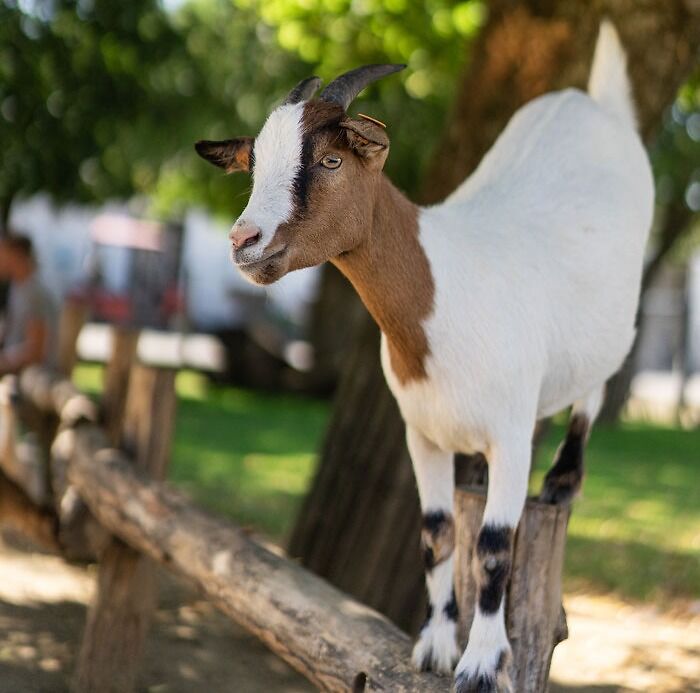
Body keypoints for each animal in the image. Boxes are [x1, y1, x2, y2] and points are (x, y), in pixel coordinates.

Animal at [196, 21, 653, 692]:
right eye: (252, 166)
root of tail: (594, 101)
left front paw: (482, 662)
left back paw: (564, 480)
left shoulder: (510, 433)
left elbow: (494, 544)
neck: (444, 297)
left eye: (331, 160)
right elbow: (437, 536)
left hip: (617, 312)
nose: (243, 241)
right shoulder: (422, 434)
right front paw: (435, 645)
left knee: (600, 378)